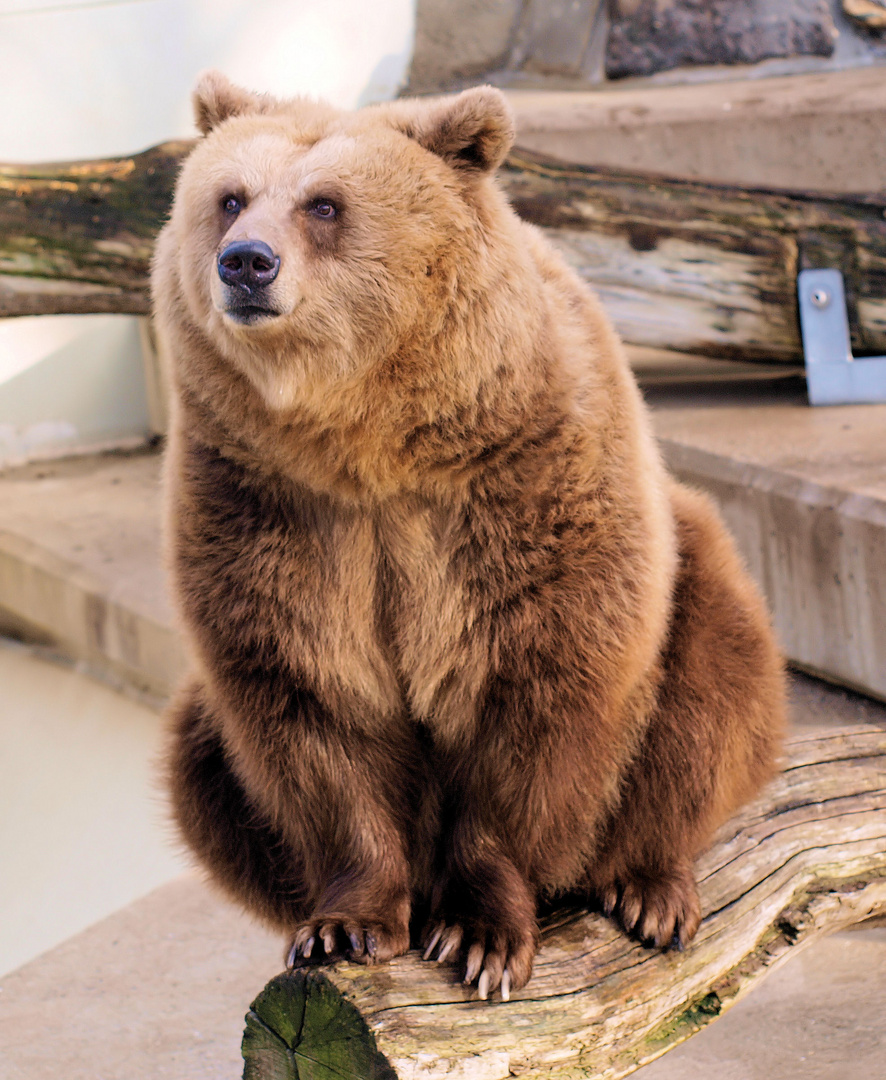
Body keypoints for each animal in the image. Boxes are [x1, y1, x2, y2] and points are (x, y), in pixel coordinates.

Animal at [155, 71, 786, 1002]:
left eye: (324, 204)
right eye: (229, 196)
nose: (246, 261)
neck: (369, 442)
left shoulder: (521, 481)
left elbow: (536, 689)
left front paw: (480, 934)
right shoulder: (271, 507)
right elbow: (311, 703)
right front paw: (342, 925)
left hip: (694, 576)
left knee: (713, 683)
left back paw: (649, 887)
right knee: (199, 761)